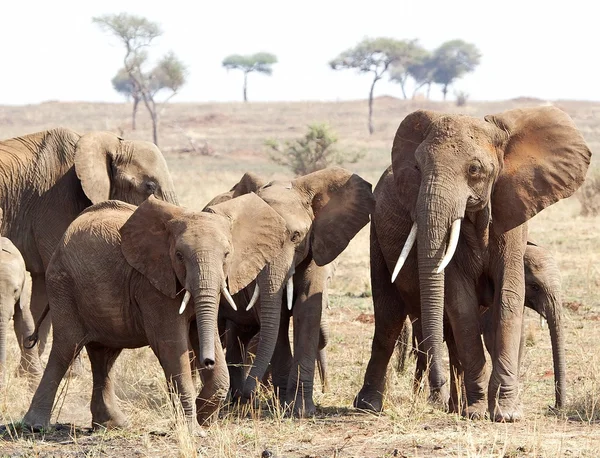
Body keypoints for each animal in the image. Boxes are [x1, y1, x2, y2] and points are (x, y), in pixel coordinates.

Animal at [22, 195, 286, 432]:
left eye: (227, 255)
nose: (207, 361)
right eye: (179, 256)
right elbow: (171, 345)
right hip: (62, 284)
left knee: (104, 355)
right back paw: (36, 426)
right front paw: (193, 430)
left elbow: (202, 335)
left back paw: (113, 425)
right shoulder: (151, 285)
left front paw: (203, 420)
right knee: (66, 348)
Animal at [356, 107, 592, 422]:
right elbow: (460, 302)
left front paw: (506, 413)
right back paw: (370, 406)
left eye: (475, 170)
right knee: (388, 317)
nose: (556, 407)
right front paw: (478, 412)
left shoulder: (513, 210)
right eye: (418, 167)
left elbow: (507, 298)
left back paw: (452, 404)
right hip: (376, 234)